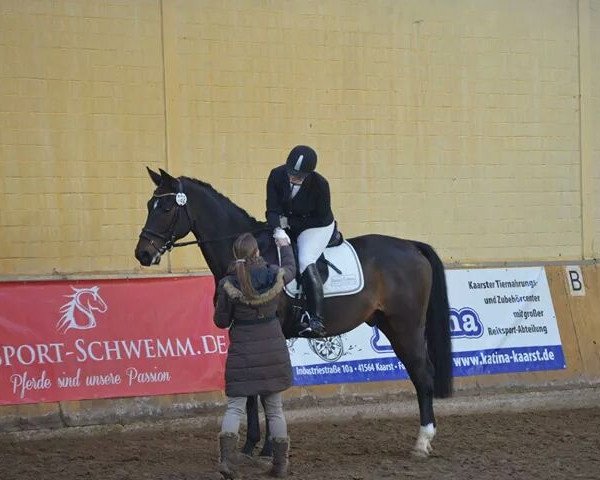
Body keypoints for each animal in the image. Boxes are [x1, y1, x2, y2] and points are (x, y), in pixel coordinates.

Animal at [134, 168, 452, 458]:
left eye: (166, 208)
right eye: (149, 205)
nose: (143, 254)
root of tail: (411, 246)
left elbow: (264, 390)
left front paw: (265, 448)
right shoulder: (242, 329)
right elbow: (252, 391)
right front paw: (251, 446)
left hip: (406, 326)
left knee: (422, 373)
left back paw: (422, 442)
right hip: (390, 324)